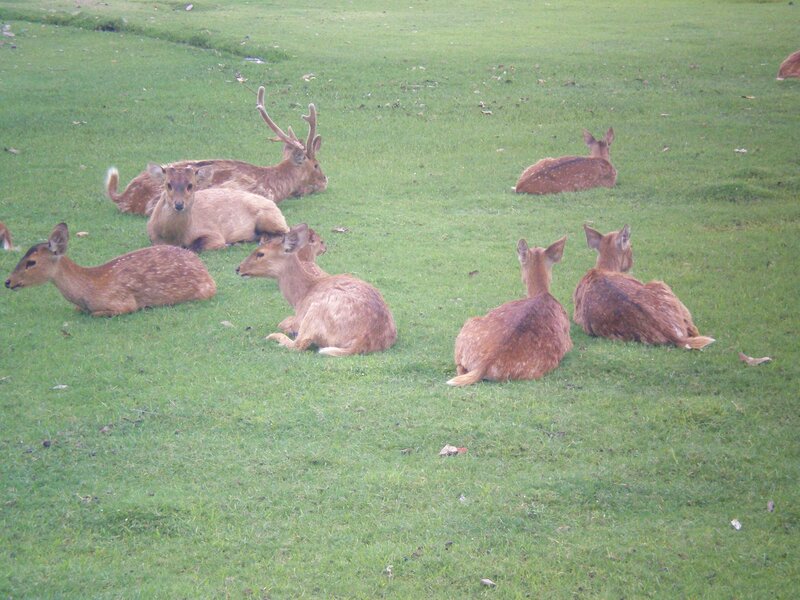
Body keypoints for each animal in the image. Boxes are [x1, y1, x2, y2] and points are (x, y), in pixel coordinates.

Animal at [146, 163, 289, 252]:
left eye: (190, 185)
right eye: (168, 184)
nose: (179, 204)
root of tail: (273, 204)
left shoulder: (213, 233)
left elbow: (195, 247)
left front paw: (229, 244)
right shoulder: (152, 237)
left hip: (269, 217)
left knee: (286, 231)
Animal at [236, 223, 397, 356]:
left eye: (260, 253)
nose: (238, 268)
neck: (299, 297)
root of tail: (362, 341)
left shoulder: (300, 317)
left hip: (315, 311)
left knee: (300, 344)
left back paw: (273, 337)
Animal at [572, 224, 714, 350]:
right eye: (631, 246)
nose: (632, 262)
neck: (604, 268)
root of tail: (677, 337)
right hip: (661, 284)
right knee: (694, 330)